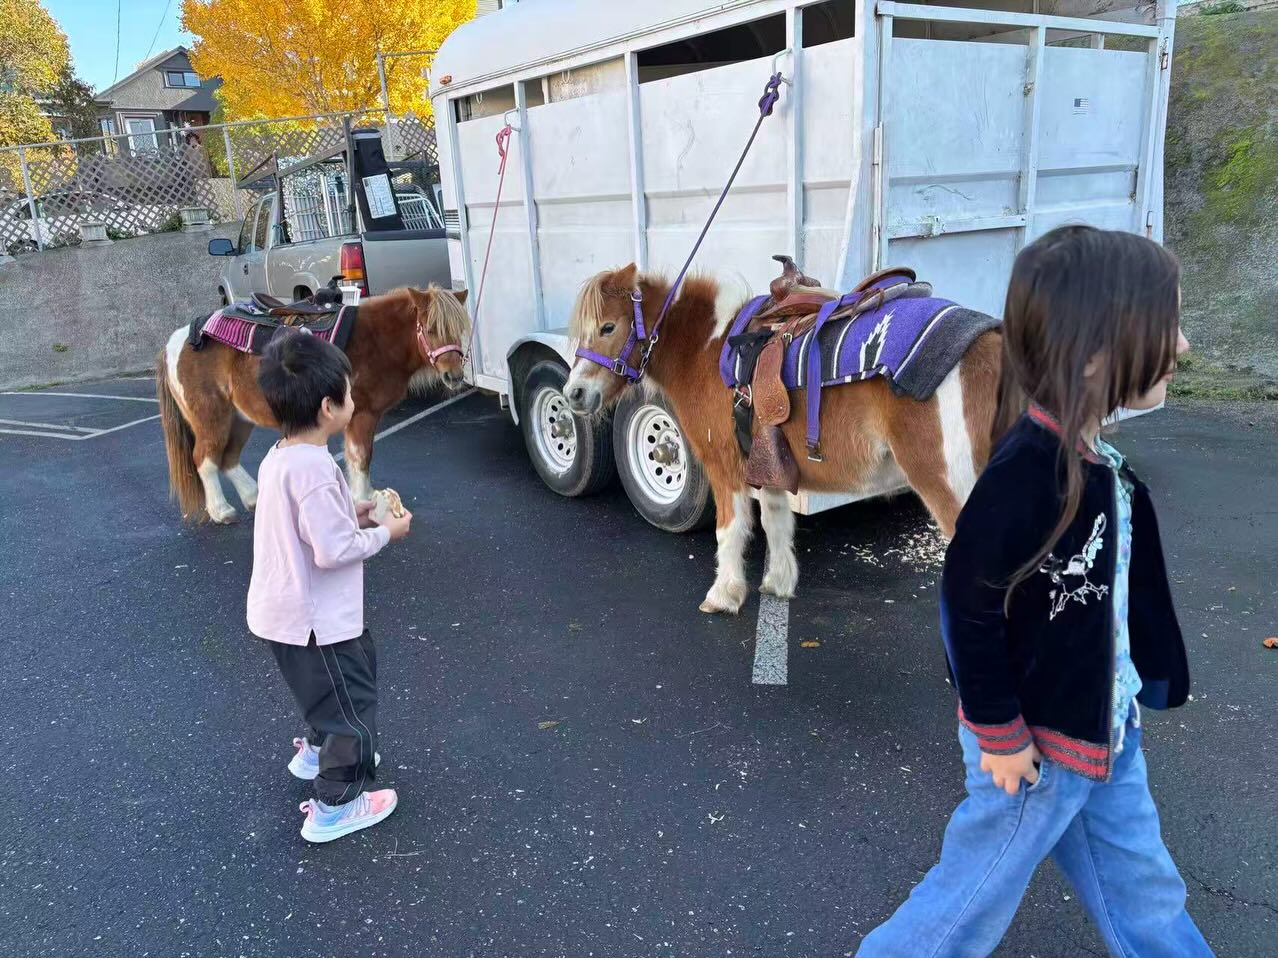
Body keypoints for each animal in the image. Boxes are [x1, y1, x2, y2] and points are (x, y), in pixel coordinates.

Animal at [156, 285, 471, 524]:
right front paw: (362, 502)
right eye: (431, 329)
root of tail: (178, 339)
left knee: (228, 458)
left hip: (240, 418)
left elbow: (360, 457)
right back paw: (221, 511)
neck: (377, 340)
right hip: (212, 417)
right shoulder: (362, 415)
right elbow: (361, 457)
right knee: (205, 459)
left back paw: (254, 497)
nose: (454, 375)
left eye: (459, 329)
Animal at [563, 263, 1002, 614]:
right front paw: (778, 584)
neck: (708, 349)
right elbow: (776, 523)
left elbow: (730, 530)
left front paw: (724, 595)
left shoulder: (725, 470)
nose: (574, 394)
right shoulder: (767, 466)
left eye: (607, 327)